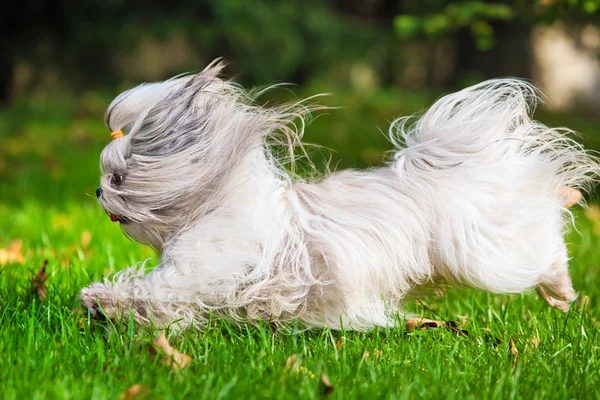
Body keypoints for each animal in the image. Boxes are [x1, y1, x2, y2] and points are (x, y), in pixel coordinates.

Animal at [81, 61, 600, 332]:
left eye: (119, 177)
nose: (97, 190)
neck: (216, 197)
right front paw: (100, 302)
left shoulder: (204, 266)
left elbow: (160, 290)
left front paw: (103, 298)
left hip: (487, 254)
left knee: (545, 247)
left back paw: (561, 288)